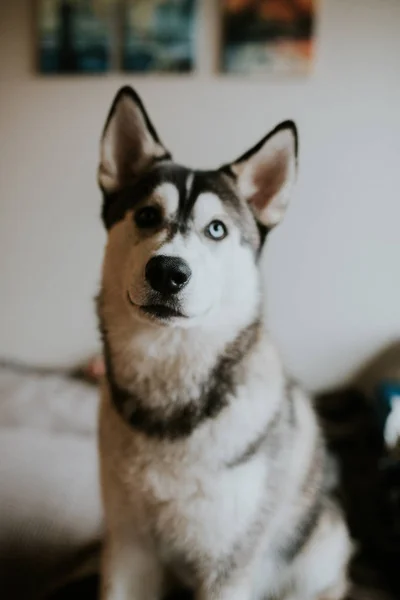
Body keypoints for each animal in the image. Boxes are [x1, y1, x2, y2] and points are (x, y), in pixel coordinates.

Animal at [98, 85, 352, 600]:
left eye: (216, 229)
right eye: (146, 215)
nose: (168, 272)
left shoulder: (227, 567)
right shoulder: (128, 548)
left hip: (321, 545)